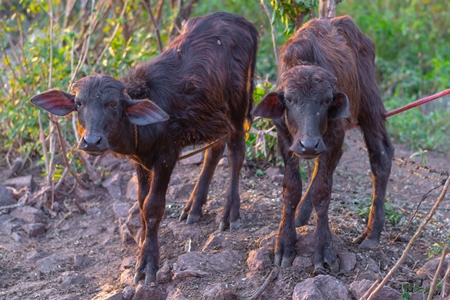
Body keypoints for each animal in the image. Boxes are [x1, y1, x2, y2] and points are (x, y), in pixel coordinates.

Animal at [29, 11, 258, 284]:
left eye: (113, 103)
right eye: (79, 103)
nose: (92, 141)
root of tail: (241, 21)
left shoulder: (167, 157)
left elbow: (153, 206)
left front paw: (147, 263)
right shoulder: (140, 162)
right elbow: (140, 202)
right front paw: (142, 242)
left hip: (238, 107)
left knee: (236, 150)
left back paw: (230, 213)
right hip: (214, 114)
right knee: (215, 148)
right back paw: (194, 207)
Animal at [253, 15, 394, 276]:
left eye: (326, 100)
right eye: (290, 99)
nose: (308, 144)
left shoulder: (335, 134)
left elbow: (322, 191)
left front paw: (324, 252)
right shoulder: (285, 139)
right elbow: (292, 188)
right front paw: (284, 244)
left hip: (370, 104)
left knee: (381, 156)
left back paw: (372, 232)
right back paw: (301, 215)